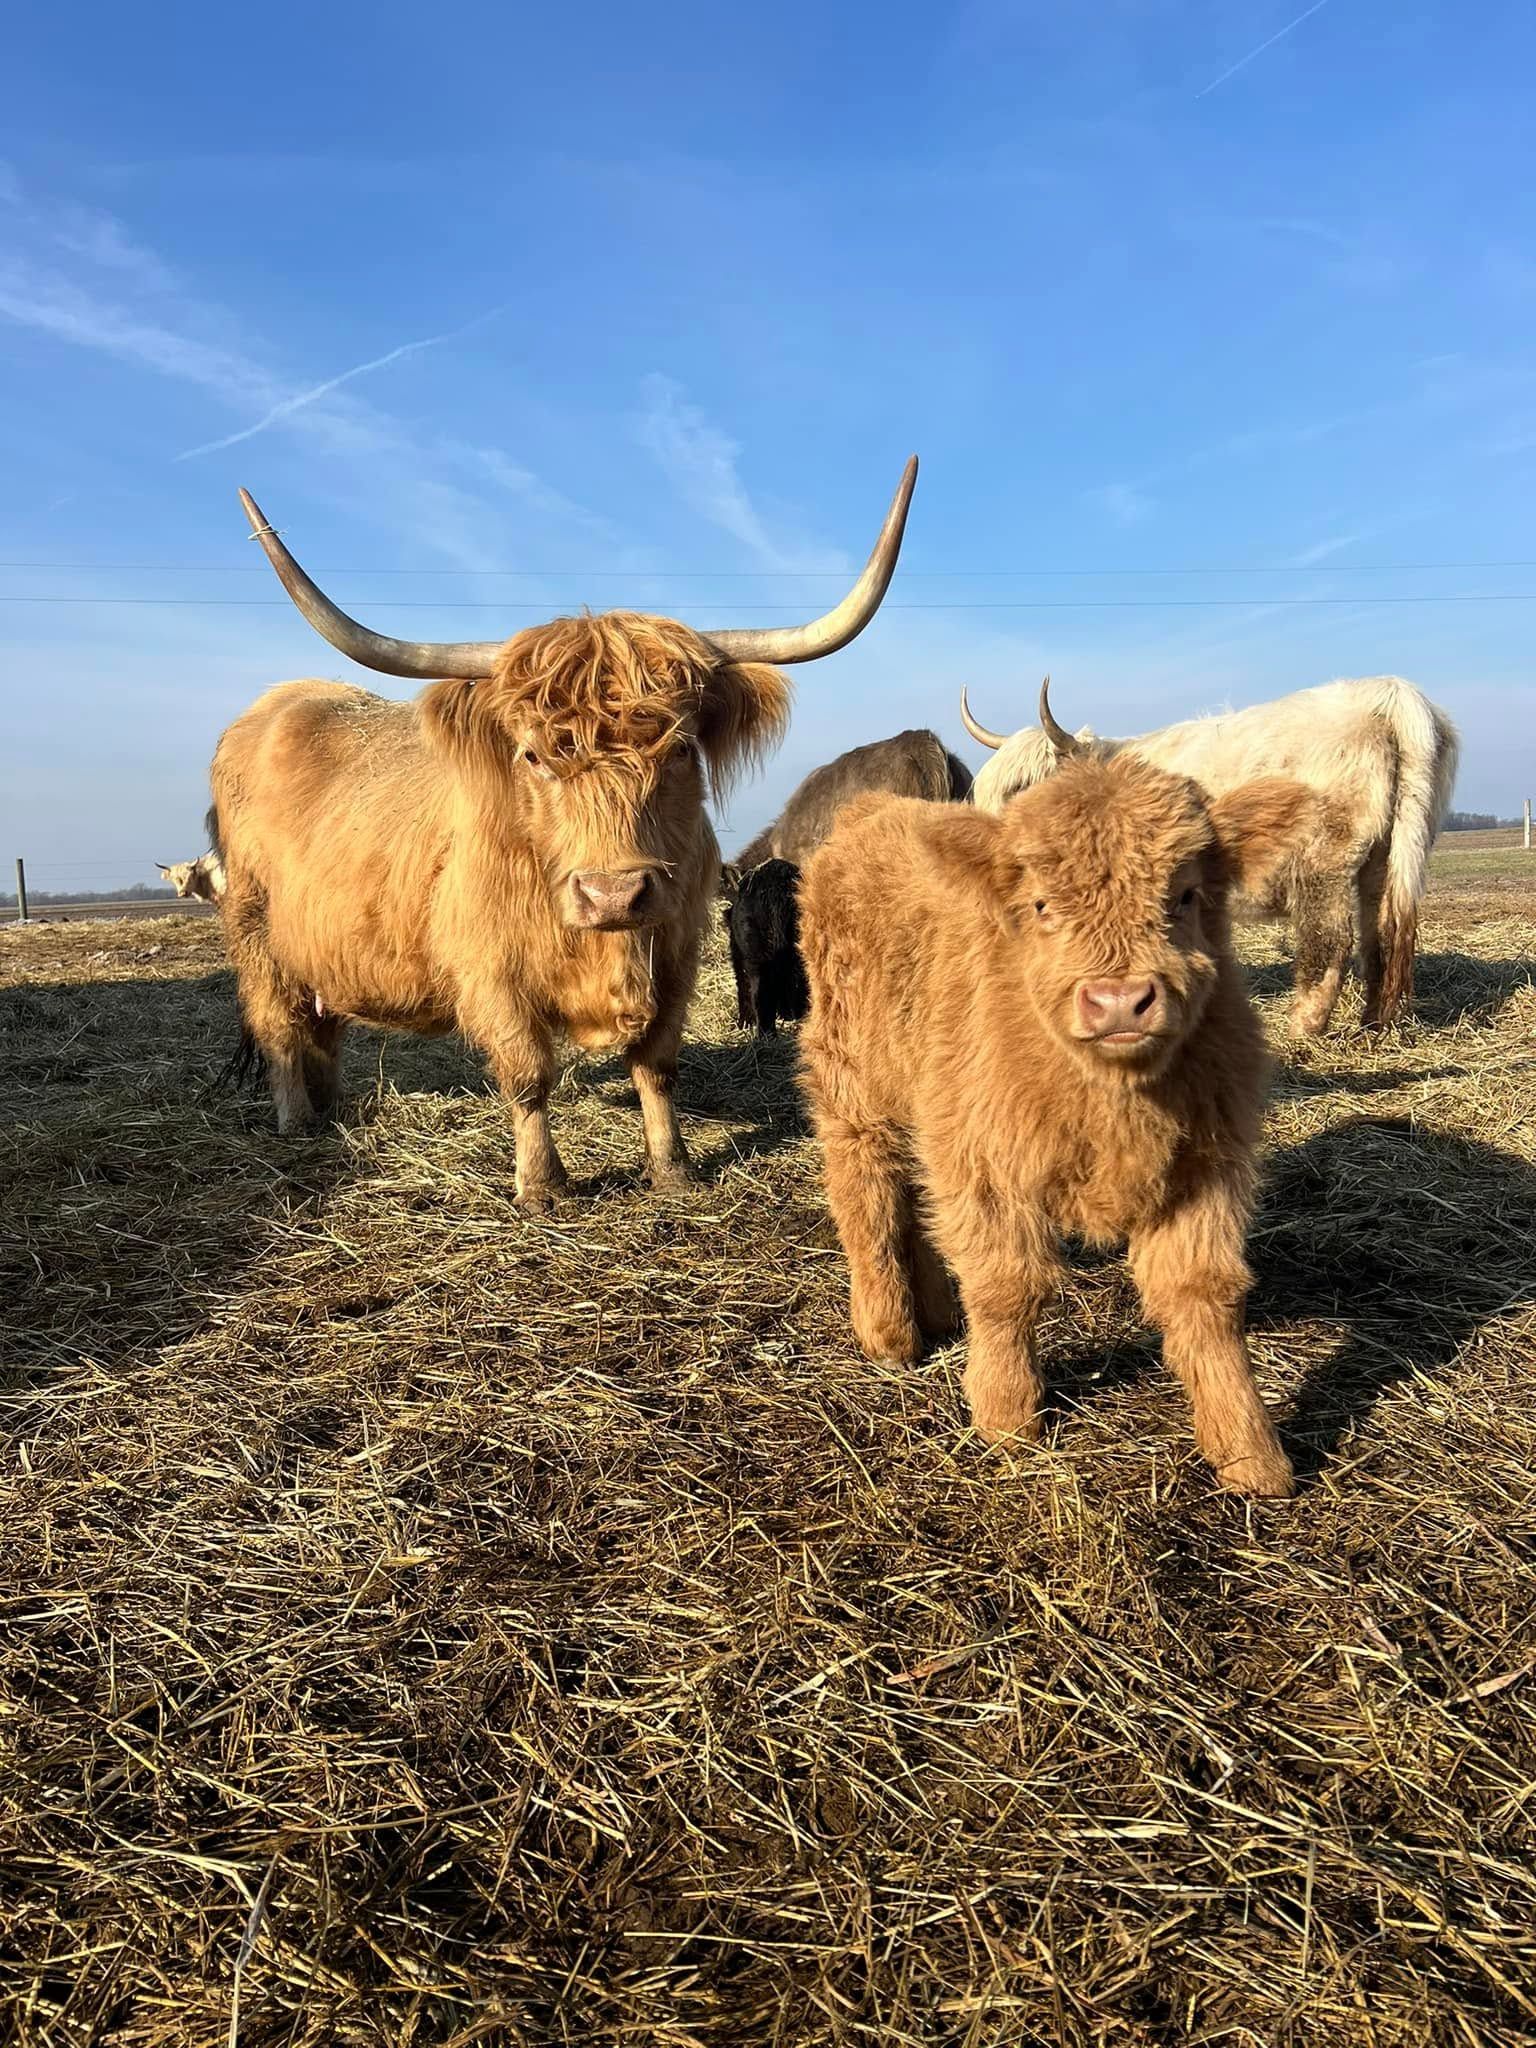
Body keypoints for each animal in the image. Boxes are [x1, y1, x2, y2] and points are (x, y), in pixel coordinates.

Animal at [798, 683, 1334, 1498]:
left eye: (1184, 895)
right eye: (1043, 905)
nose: (1118, 1001)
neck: (1113, 1098)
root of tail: (872, 813)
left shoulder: (1206, 1167)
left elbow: (1205, 1294)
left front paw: (1251, 1455)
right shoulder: (986, 1163)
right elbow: (1007, 1286)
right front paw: (1007, 1419)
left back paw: (934, 1313)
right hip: (852, 1080)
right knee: (866, 1189)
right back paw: (887, 1331)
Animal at [962, 674, 1458, 1034]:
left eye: (1022, 788)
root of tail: (1387, 692)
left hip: (1325, 862)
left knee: (1330, 942)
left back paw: (1304, 1027)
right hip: (1389, 856)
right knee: (1386, 930)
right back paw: (1376, 1020)